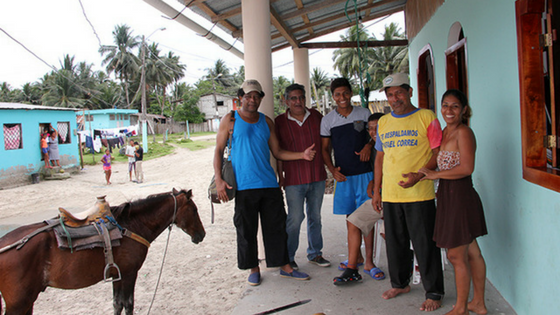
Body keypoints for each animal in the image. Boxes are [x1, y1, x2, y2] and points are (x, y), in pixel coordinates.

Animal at [0, 189, 205, 315]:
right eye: (194, 210)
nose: (201, 235)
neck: (132, 225)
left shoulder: (117, 274)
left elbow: (117, 303)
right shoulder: (129, 273)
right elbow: (128, 304)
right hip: (18, 303)